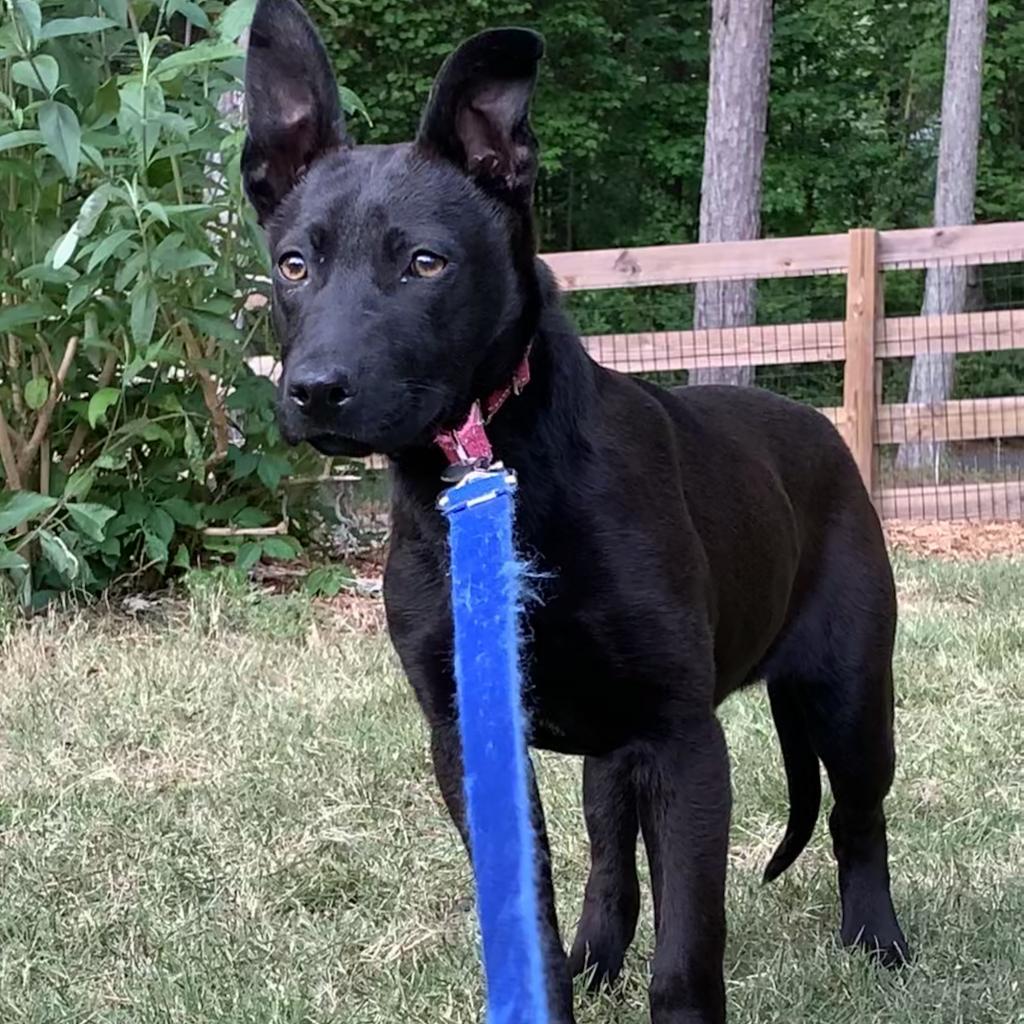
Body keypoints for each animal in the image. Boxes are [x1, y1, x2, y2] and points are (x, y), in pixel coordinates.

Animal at [243, 4, 909, 1019]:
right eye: (293, 265)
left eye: (426, 263)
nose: (315, 391)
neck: (501, 472)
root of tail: (824, 431)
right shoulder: (473, 739)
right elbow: (536, 909)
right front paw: (559, 981)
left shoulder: (680, 738)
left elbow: (689, 949)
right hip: (611, 750)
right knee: (610, 861)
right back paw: (600, 955)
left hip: (848, 693)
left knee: (857, 816)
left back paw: (877, 940)